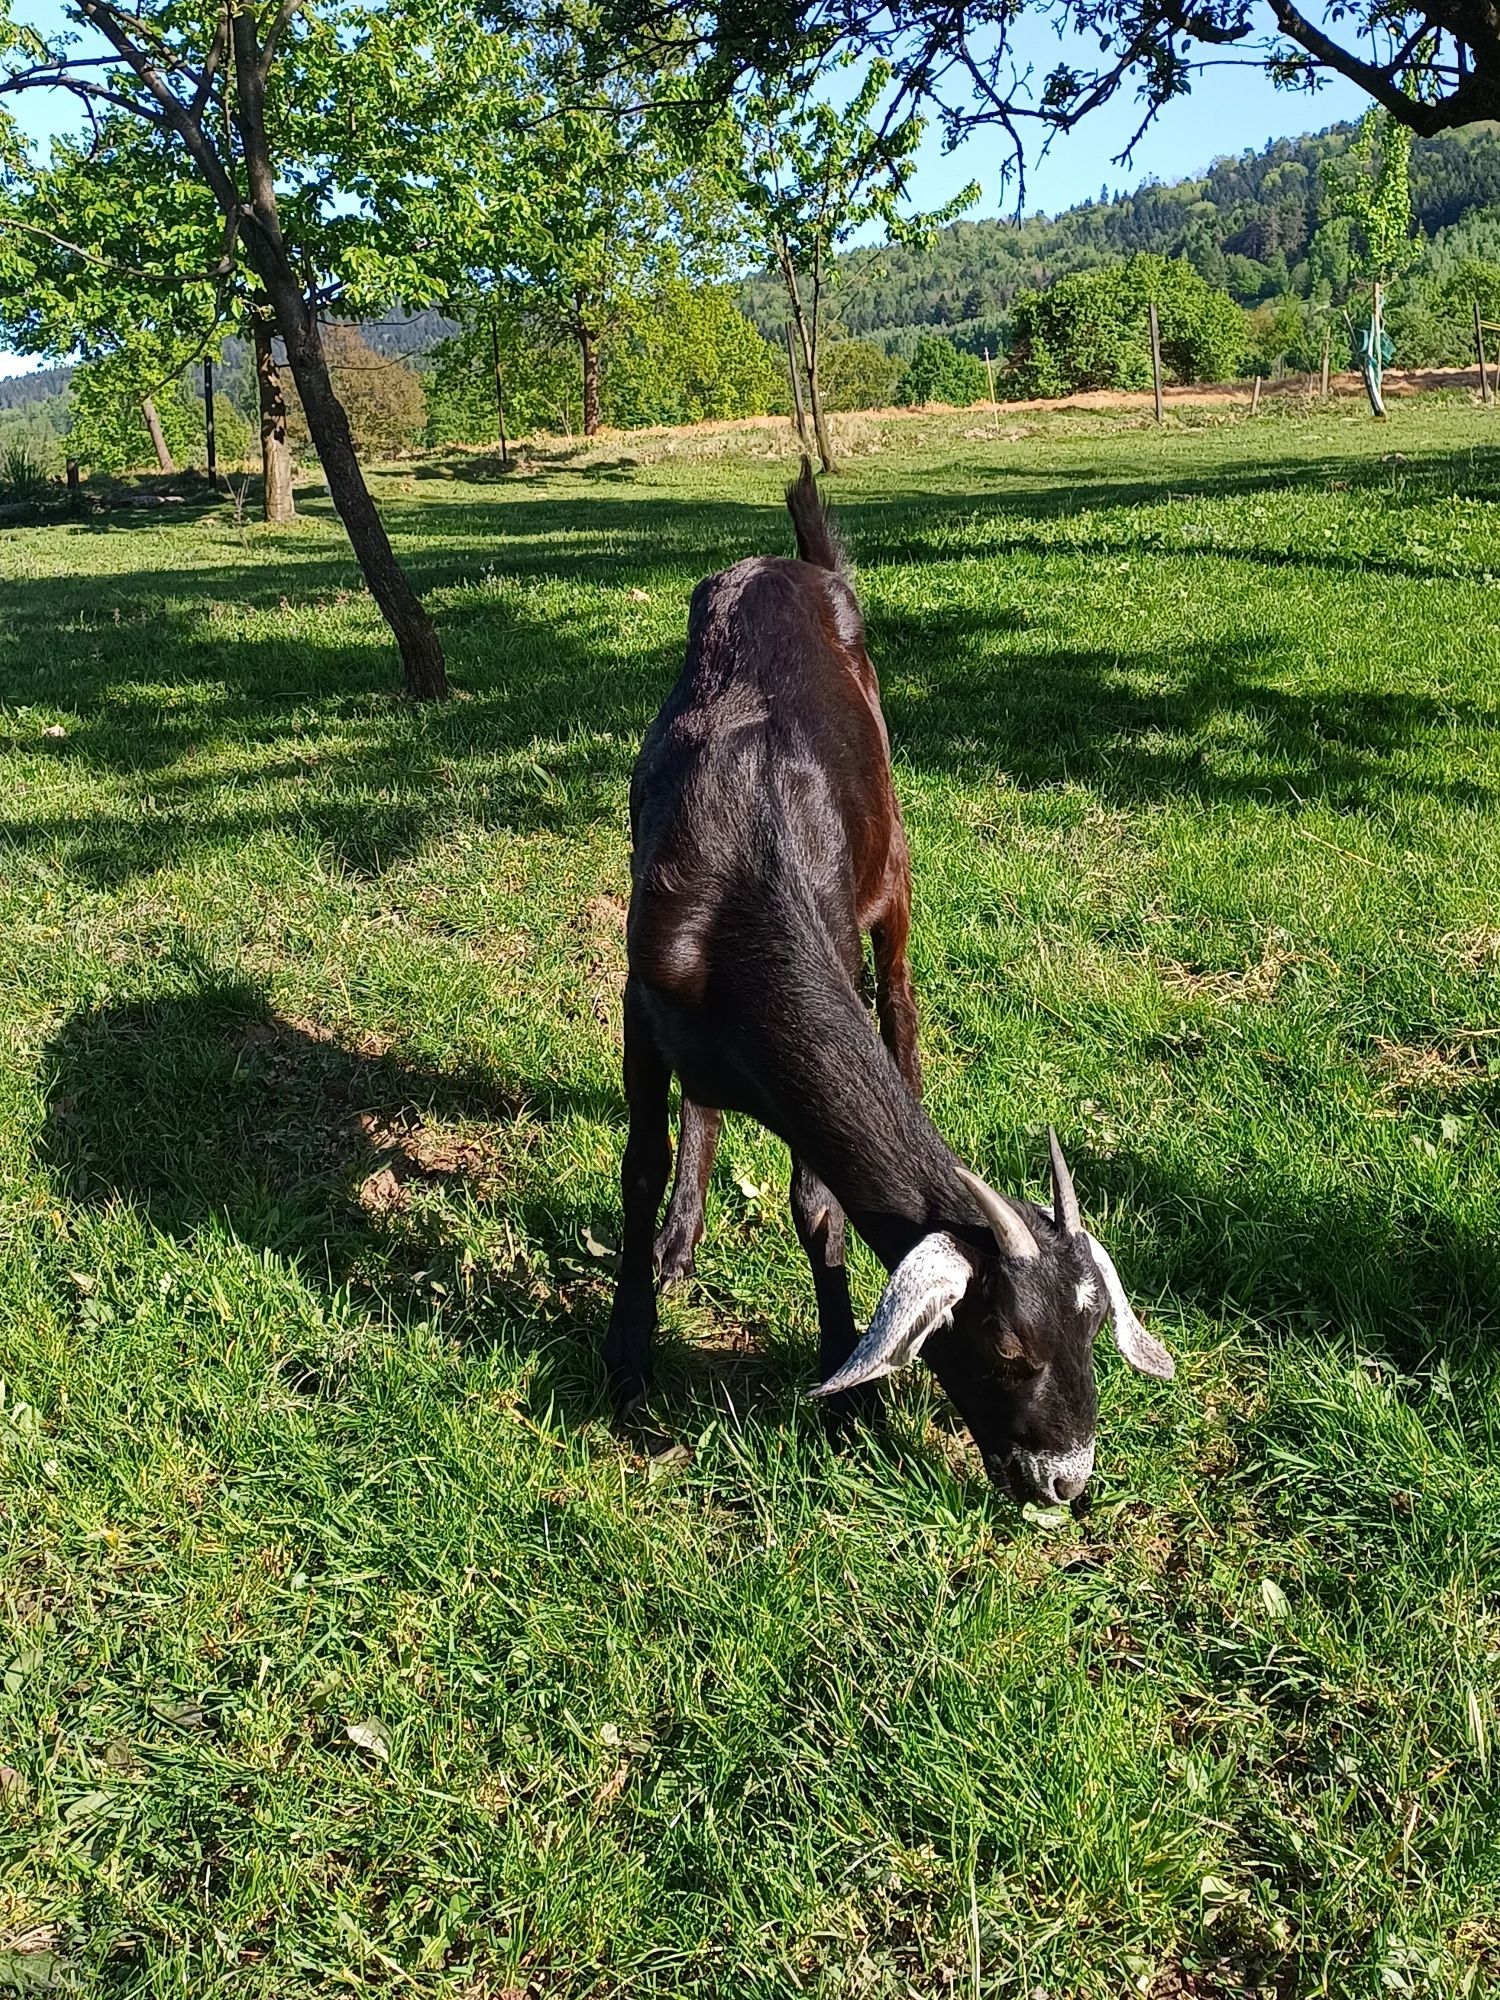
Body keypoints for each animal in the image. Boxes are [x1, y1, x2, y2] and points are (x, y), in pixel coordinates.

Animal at [604, 464, 1176, 1504]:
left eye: (1091, 1334)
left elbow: (816, 1203)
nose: (1066, 1479)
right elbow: (641, 1164)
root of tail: (794, 564)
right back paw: (679, 1239)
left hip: (895, 862)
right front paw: (629, 1348)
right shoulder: (640, 998)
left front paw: (845, 1377)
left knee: (901, 1001)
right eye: (1005, 1346)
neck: (745, 884)